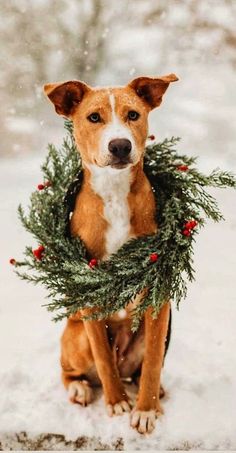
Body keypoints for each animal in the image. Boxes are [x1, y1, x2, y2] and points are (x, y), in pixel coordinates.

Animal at [43, 74, 177, 434]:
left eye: (133, 115)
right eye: (93, 117)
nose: (119, 146)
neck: (115, 194)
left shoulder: (158, 302)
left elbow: (154, 363)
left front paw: (145, 409)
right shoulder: (89, 296)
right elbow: (103, 359)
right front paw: (117, 403)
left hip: (145, 333)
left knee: (140, 368)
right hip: (75, 336)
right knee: (72, 371)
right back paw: (80, 388)